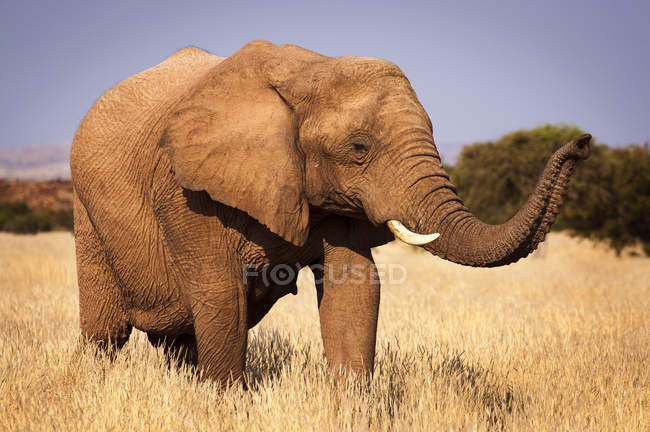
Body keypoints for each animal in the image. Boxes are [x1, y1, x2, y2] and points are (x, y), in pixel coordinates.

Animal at [69, 39, 588, 384]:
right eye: (359, 148)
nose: (582, 142)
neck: (308, 71)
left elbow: (355, 288)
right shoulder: (186, 191)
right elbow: (220, 295)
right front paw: (223, 405)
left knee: (176, 339)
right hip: (86, 210)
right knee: (107, 332)